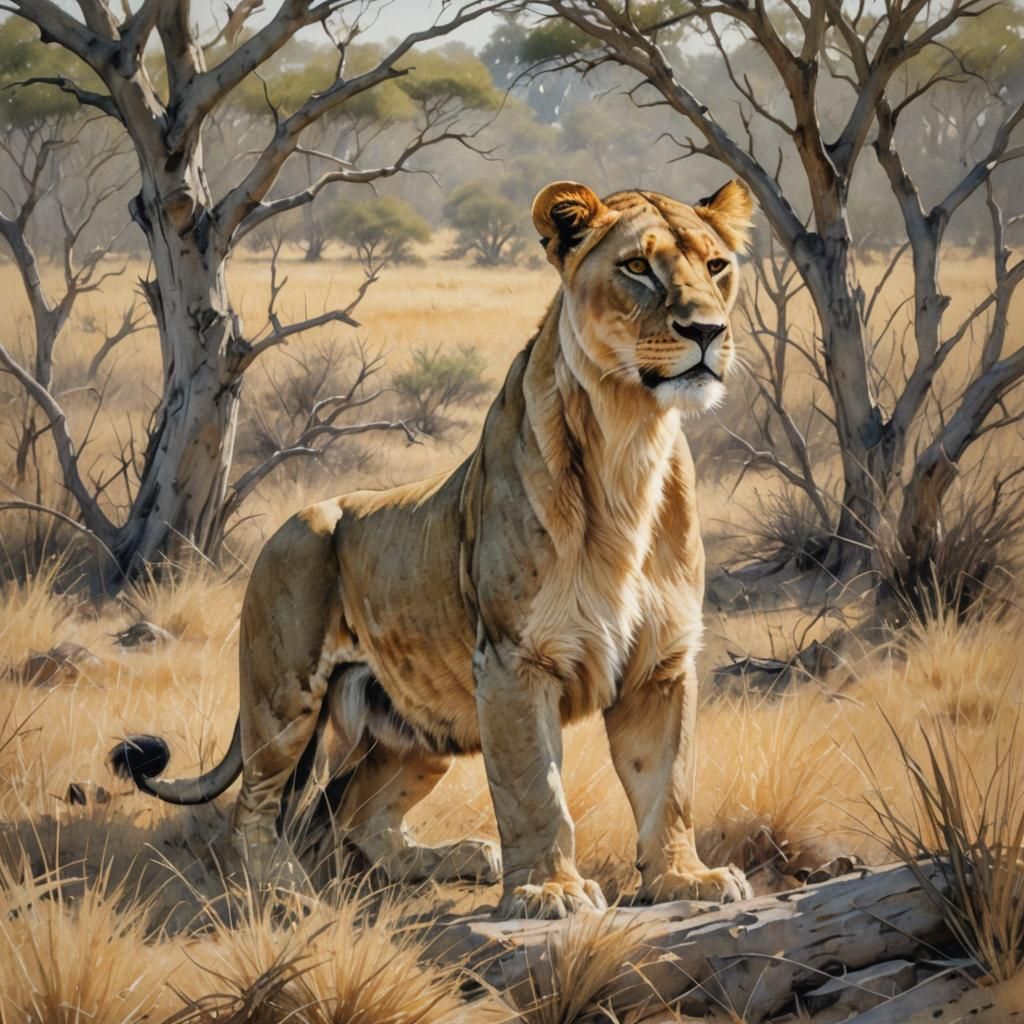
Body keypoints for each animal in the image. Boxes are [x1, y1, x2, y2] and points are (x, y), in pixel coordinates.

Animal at [113, 179, 756, 919]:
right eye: (638, 268)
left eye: (717, 266)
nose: (707, 331)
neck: (631, 439)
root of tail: (289, 523)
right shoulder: (513, 661)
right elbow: (535, 788)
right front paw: (548, 890)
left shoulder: (662, 662)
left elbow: (667, 785)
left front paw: (685, 878)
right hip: (283, 696)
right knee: (258, 809)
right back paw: (286, 893)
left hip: (424, 726)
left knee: (351, 816)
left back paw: (464, 857)